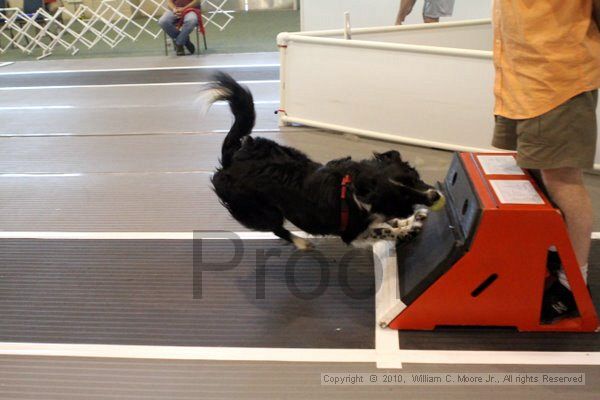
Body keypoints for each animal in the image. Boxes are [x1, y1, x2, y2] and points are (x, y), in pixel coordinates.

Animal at [209, 71, 442, 247]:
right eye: (402, 196)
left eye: (415, 177)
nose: (436, 196)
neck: (359, 187)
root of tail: (231, 158)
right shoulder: (353, 233)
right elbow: (381, 230)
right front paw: (404, 230)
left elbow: (387, 220)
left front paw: (407, 221)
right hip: (261, 211)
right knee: (277, 228)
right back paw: (301, 243)